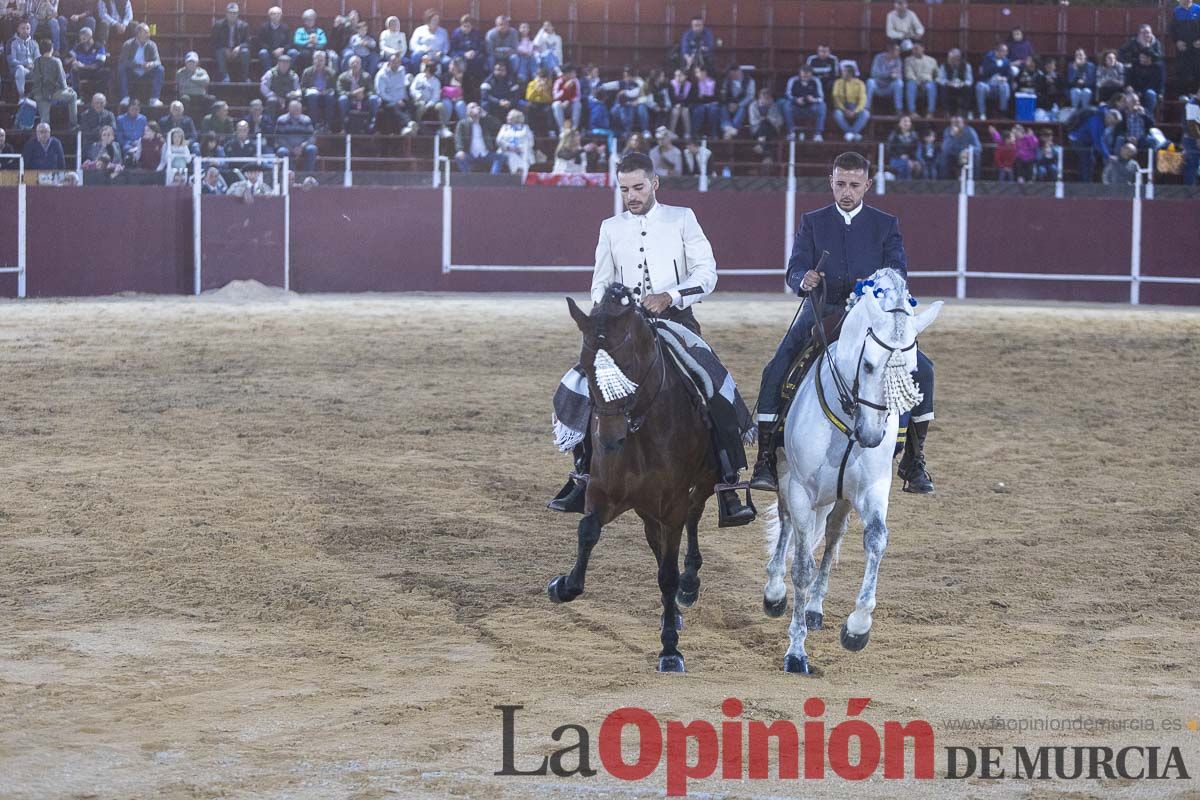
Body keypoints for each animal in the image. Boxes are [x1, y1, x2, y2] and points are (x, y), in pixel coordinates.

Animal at [549, 284, 715, 671]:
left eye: (628, 366)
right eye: (586, 367)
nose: (609, 439)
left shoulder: (673, 504)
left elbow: (668, 572)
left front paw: (670, 649)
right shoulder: (603, 492)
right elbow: (588, 530)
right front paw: (563, 586)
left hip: (703, 482)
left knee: (694, 518)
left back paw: (689, 585)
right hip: (646, 507)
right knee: (657, 542)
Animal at [763, 271, 940, 676]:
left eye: (910, 372)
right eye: (870, 365)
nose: (872, 435)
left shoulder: (872, 489)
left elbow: (875, 540)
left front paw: (857, 628)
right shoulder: (800, 490)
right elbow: (802, 567)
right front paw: (796, 653)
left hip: (841, 499)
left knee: (831, 537)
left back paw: (814, 608)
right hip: (784, 476)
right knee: (786, 526)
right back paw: (774, 593)